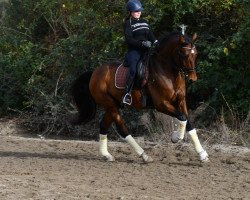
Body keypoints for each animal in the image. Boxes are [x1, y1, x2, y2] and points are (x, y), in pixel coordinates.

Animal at [70, 31, 209, 162]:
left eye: (195, 54)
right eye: (184, 54)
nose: (192, 79)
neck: (167, 71)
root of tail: (95, 73)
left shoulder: (180, 101)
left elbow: (188, 122)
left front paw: (202, 155)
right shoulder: (161, 104)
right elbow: (182, 117)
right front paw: (176, 137)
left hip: (113, 105)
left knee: (103, 126)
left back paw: (107, 155)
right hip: (110, 105)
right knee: (123, 130)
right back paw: (144, 155)